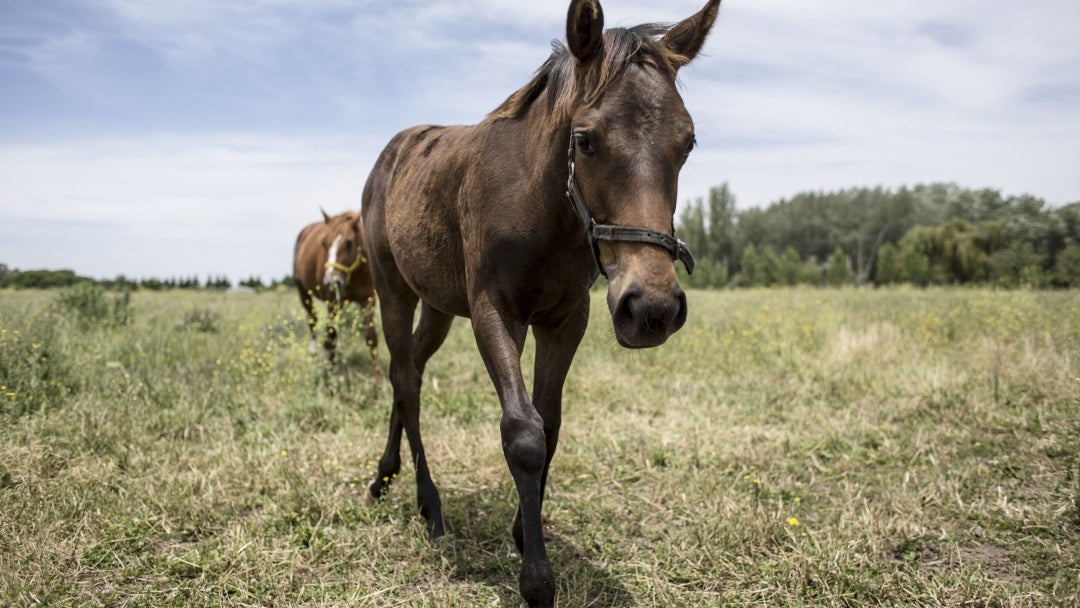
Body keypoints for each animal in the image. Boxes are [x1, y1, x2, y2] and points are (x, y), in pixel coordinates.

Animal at [291, 210, 380, 360]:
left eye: (349, 243)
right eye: (323, 243)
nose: (330, 282)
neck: (354, 276)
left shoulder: (368, 300)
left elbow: (371, 338)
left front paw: (377, 368)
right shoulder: (332, 302)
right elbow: (330, 335)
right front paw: (328, 362)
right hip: (303, 292)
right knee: (312, 318)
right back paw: (313, 350)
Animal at [358, 2, 721, 604]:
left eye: (688, 142)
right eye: (585, 139)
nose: (652, 308)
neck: (540, 206)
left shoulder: (565, 318)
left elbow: (548, 426)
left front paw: (523, 533)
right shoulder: (494, 312)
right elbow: (523, 432)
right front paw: (536, 580)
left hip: (438, 306)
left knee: (406, 371)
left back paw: (387, 474)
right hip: (395, 292)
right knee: (406, 378)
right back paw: (429, 506)